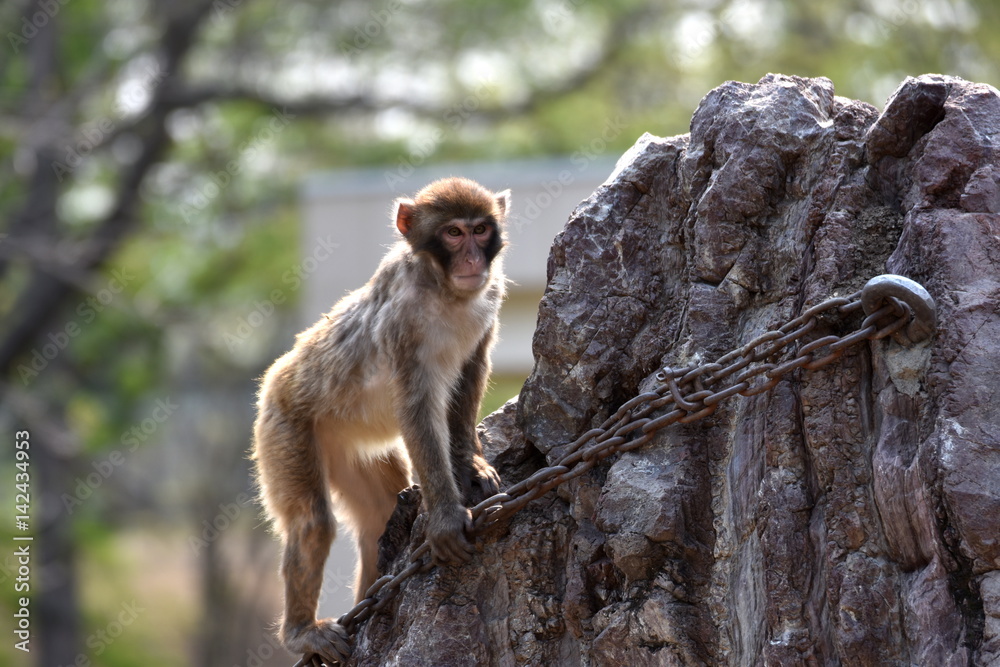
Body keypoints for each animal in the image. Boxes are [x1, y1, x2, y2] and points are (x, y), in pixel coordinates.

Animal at [251, 177, 509, 664]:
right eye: (453, 233)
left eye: (481, 229)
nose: (472, 259)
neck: (443, 287)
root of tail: (273, 379)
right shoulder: (403, 321)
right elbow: (416, 408)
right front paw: (445, 516)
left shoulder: (492, 296)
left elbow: (470, 373)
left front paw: (471, 461)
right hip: (283, 426)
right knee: (312, 521)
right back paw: (300, 631)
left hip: (350, 448)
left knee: (377, 512)